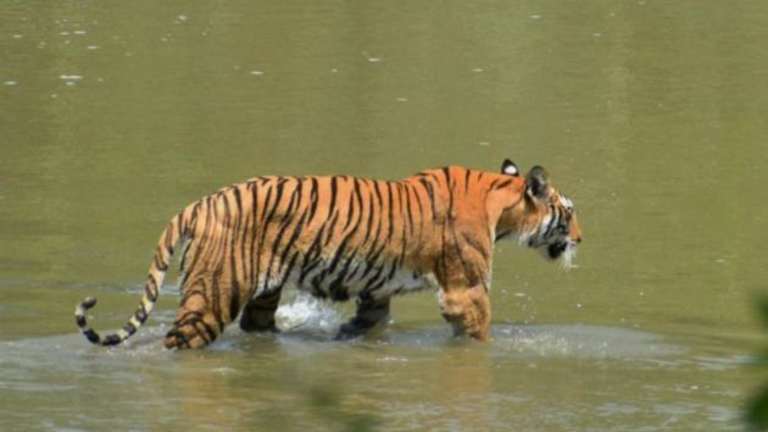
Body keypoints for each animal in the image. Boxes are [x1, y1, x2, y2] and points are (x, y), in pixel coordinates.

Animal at [75, 159, 582, 349]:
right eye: (568, 212)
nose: (580, 238)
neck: (502, 204)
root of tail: (199, 205)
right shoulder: (466, 290)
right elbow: (479, 335)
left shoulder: (376, 291)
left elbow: (368, 322)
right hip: (213, 295)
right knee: (177, 341)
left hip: (261, 294)